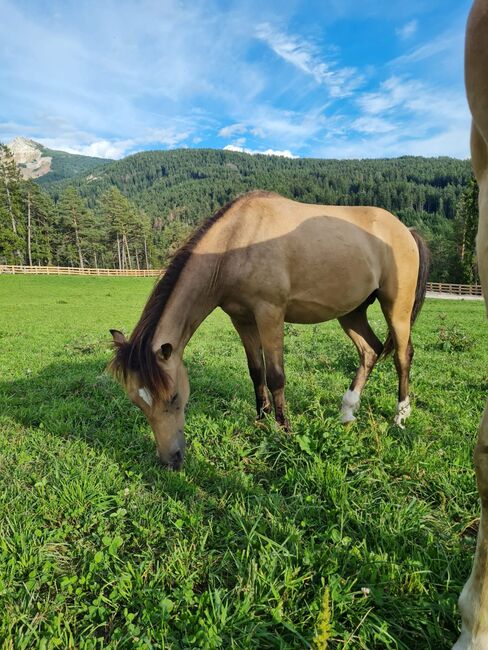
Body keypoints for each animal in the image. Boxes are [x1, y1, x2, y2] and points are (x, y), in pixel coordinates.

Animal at [109, 190, 428, 468]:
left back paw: (400, 416)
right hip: (352, 312)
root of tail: (405, 230)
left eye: (174, 397)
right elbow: (256, 371)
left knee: (402, 355)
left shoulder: (270, 314)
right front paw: (261, 420)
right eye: (137, 401)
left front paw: (284, 430)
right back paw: (347, 412)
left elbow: (275, 376)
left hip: (396, 307)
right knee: (369, 351)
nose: (171, 459)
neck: (236, 243)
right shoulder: (242, 319)